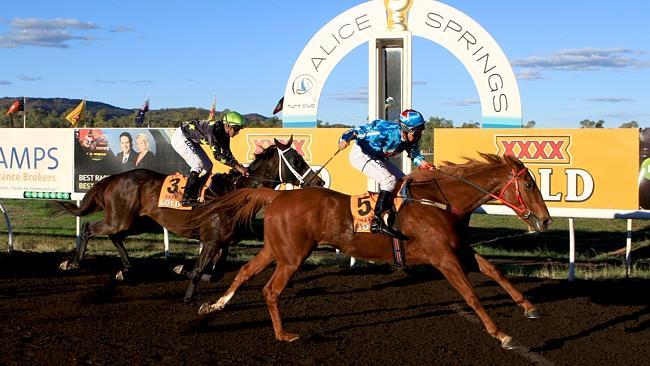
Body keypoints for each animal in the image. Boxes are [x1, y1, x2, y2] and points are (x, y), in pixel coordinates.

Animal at [53, 137, 324, 300]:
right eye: (297, 160)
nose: (319, 182)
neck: (236, 193)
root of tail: (115, 178)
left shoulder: (222, 243)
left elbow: (214, 274)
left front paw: (180, 267)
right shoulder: (211, 241)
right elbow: (200, 271)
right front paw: (187, 293)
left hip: (139, 221)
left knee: (114, 236)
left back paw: (126, 269)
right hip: (121, 219)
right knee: (89, 228)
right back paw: (73, 263)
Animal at [196, 152, 548, 348]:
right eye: (529, 184)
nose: (545, 219)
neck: (440, 202)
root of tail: (278, 196)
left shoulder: (459, 250)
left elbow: (495, 270)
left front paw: (529, 306)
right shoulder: (443, 257)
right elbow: (471, 295)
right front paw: (502, 334)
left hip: (275, 250)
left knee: (244, 272)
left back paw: (213, 306)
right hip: (293, 257)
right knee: (270, 290)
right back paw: (284, 336)